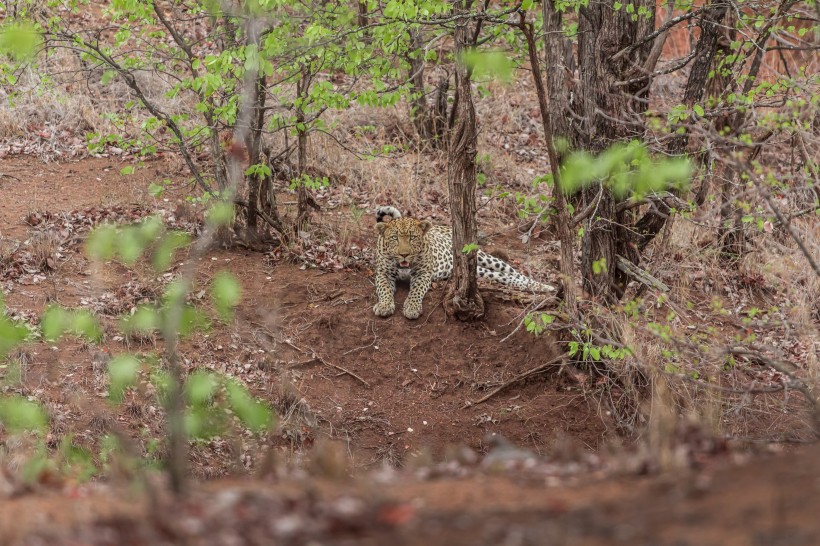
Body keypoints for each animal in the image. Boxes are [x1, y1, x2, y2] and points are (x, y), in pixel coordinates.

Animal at [374, 205, 556, 318]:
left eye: (412, 238)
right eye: (394, 238)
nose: (404, 254)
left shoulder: (423, 273)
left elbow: (416, 291)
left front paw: (411, 307)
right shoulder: (383, 273)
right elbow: (384, 289)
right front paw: (384, 306)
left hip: (483, 257)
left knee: (513, 272)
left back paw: (545, 287)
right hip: (475, 270)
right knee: (502, 276)